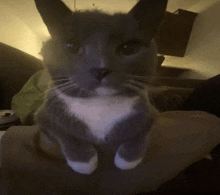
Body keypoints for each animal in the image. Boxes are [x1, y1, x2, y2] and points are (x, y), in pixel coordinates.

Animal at [34, 0, 167, 174]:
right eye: (71, 46)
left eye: (128, 48)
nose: (100, 70)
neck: (100, 104)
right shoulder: (45, 116)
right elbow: (66, 135)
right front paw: (84, 163)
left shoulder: (151, 114)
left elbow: (139, 137)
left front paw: (126, 161)